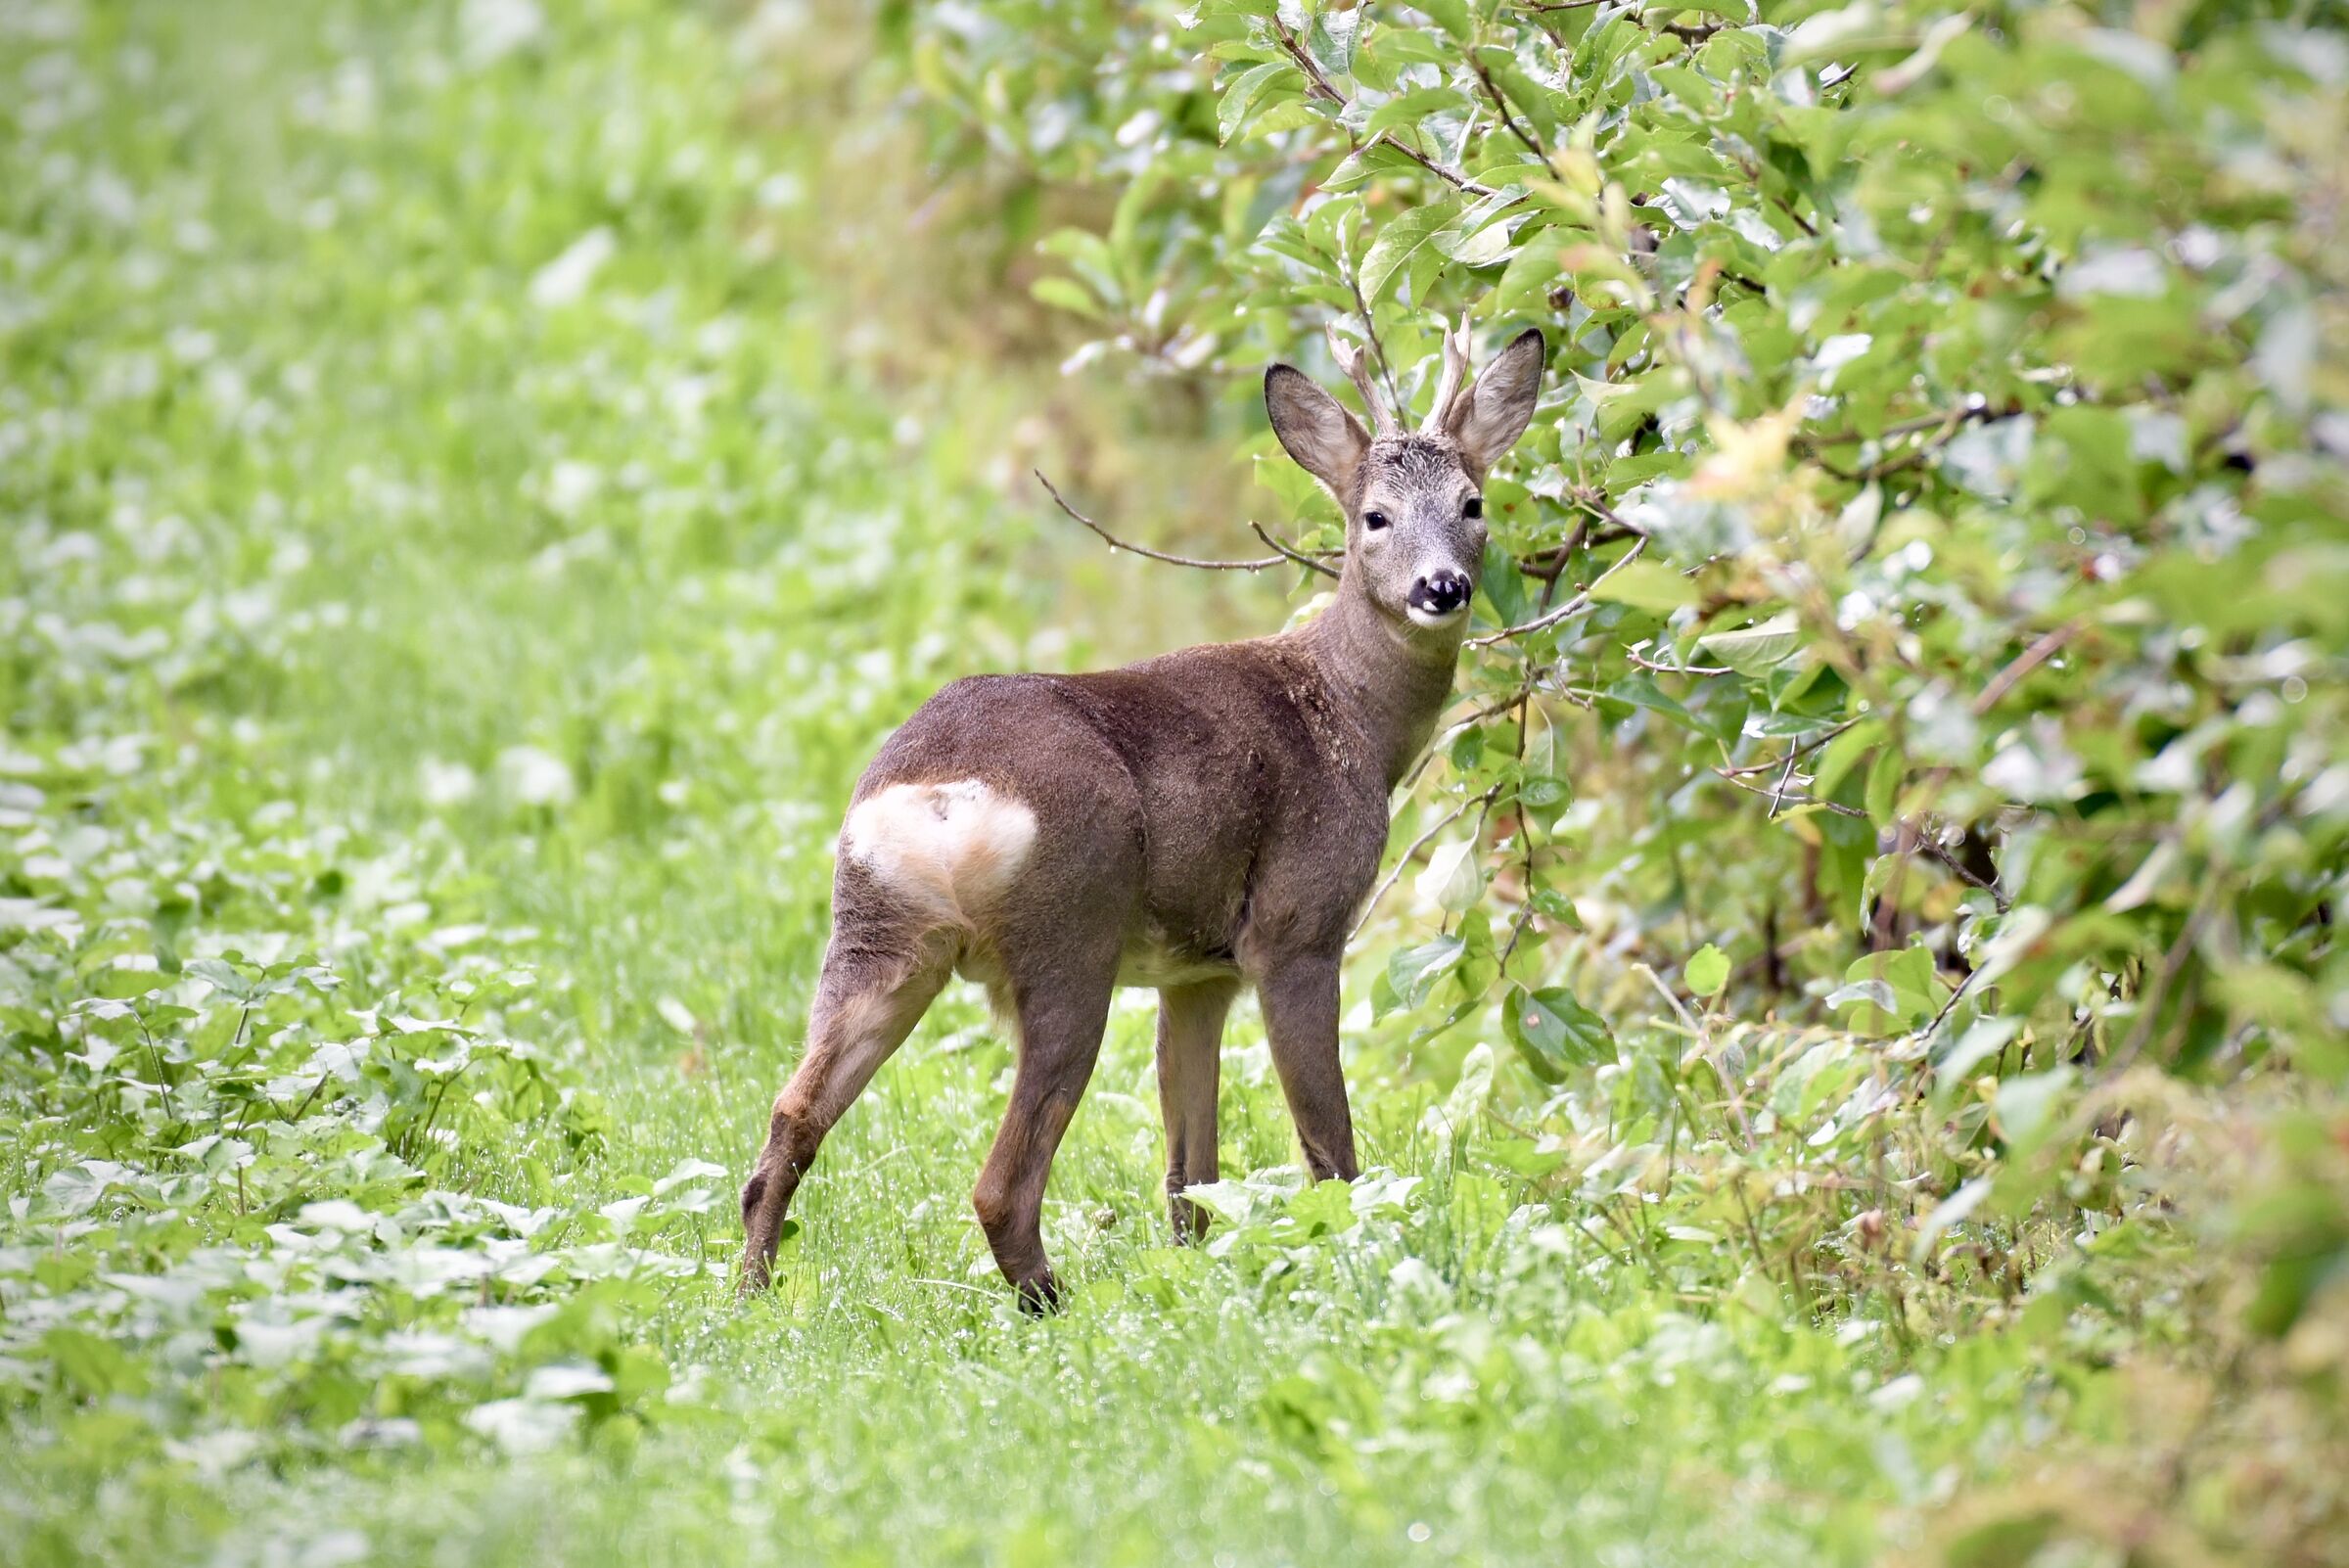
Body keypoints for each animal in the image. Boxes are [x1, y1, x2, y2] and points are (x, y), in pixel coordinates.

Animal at [739, 325, 1546, 1310]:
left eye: (1473, 503)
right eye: (1374, 517)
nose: (1443, 587)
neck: (1348, 709)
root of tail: (934, 794)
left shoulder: (1195, 972)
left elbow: (1190, 1169)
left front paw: (1197, 1273)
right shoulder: (1297, 925)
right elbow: (1327, 1143)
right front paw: (1357, 1245)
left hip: (876, 935)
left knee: (788, 1124)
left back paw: (752, 1295)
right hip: (1069, 936)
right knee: (1000, 1182)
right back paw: (1052, 1307)